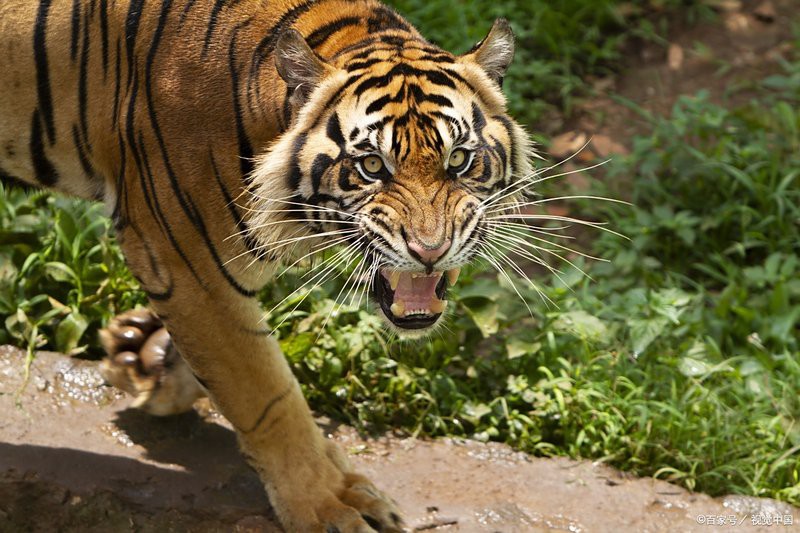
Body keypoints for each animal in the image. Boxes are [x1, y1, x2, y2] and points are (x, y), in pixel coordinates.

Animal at [0, 0, 534, 531]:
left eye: (459, 160)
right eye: (372, 167)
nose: (431, 250)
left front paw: (144, 358)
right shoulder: (189, 266)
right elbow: (267, 395)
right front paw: (328, 503)